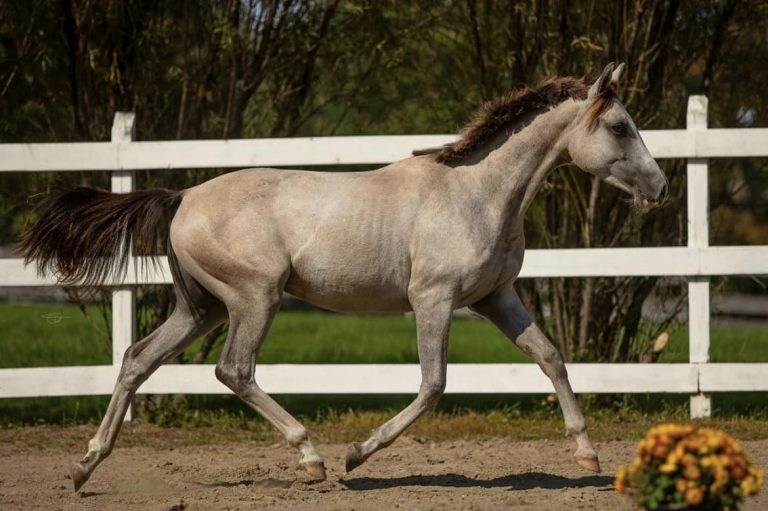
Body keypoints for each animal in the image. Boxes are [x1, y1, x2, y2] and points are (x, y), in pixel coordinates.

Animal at [21, 62, 664, 490]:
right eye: (620, 127)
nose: (658, 188)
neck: (477, 194)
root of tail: (180, 198)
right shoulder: (434, 300)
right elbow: (434, 384)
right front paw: (358, 454)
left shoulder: (496, 298)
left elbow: (551, 357)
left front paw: (588, 456)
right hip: (254, 298)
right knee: (233, 370)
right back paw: (313, 459)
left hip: (200, 307)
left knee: (136, 360)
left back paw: (85, 466)